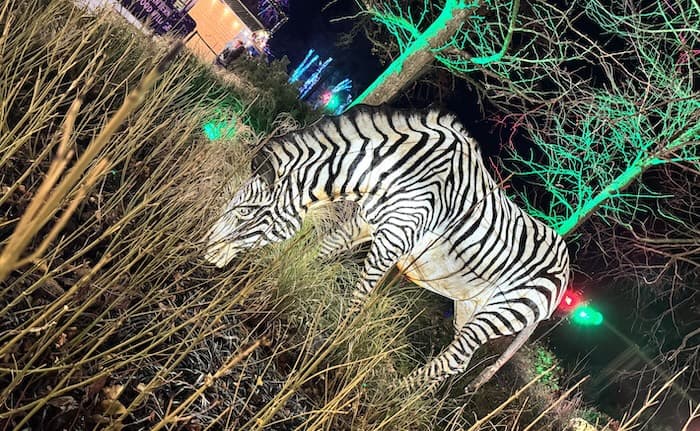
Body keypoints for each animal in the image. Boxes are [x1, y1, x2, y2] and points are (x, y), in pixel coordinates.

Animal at [204, 105, 570, 388]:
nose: (205, 254)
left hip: (501, 311)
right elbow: (320, 254)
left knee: (454, 358)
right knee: (458, 359)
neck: (390, 170)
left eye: (246, 211)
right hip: (470, 306)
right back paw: (412, 399)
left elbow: (357, 301)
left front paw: (327, 351)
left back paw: (389, 392)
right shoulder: (363, 223)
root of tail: (565, 270)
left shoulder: (393, 239)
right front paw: (273, 292)